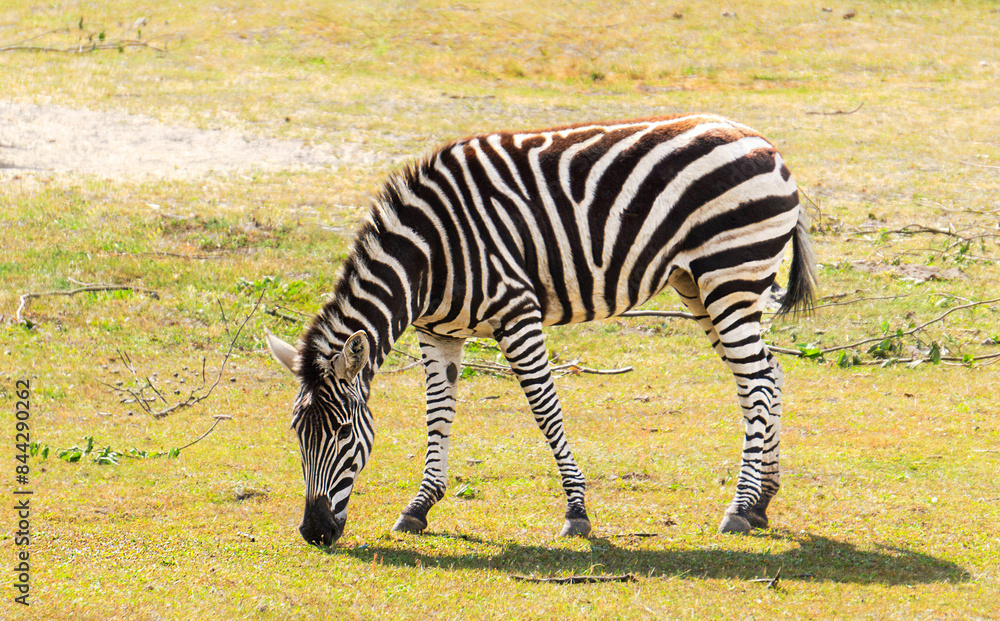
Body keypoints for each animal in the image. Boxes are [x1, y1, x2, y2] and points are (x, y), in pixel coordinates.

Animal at [266, 113, 816, 546]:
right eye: (297, 432)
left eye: (342, 432)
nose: (314, 532)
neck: (427, 255)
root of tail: (763, 143)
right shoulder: (438, 332)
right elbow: (438, 417)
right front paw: (419, 508)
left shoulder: (517, 313)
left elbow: (545, 411)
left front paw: (577, 512)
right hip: (698, 285)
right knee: (767, 374)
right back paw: (762, 501)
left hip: (729, 274)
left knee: (758, 383)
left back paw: (739, 509)